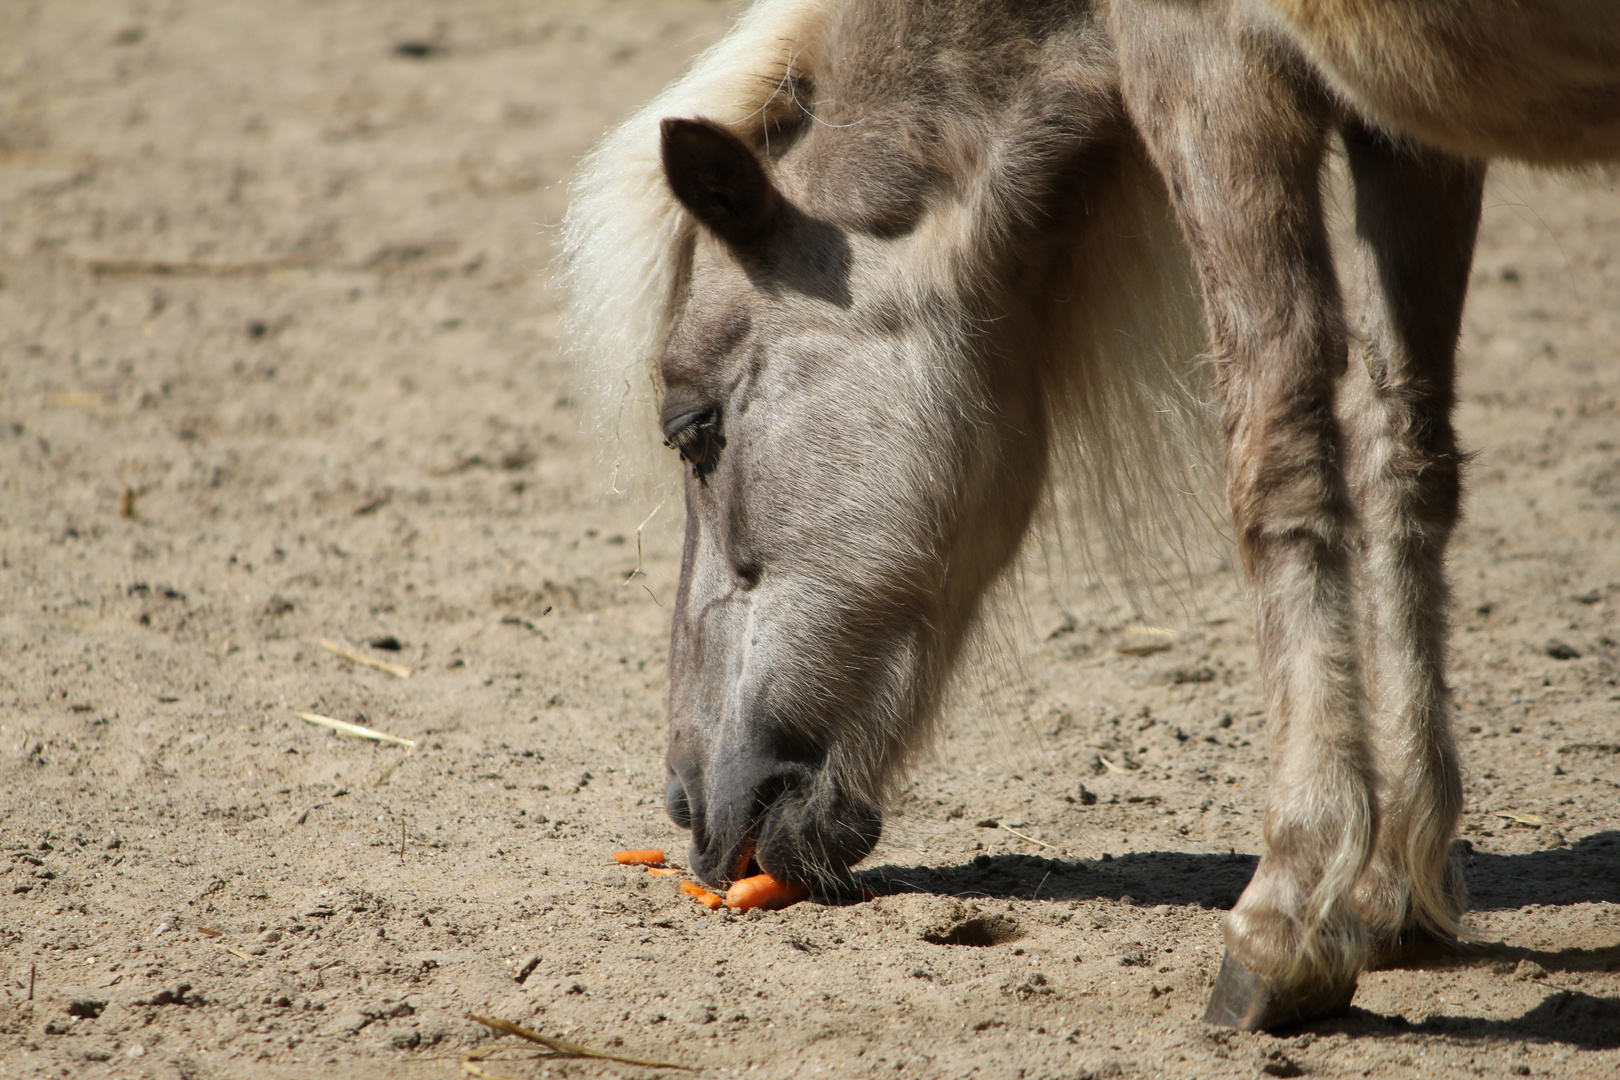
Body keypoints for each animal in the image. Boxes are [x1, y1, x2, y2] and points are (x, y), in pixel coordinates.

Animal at [560, 0, 1620, 1029]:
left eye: (693, 427)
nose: (682, 798)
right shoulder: (1406, 141)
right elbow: (1408, 452)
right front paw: (1395, 889)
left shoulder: (1213, 71)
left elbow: (1278, 454)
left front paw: (1287, 920)